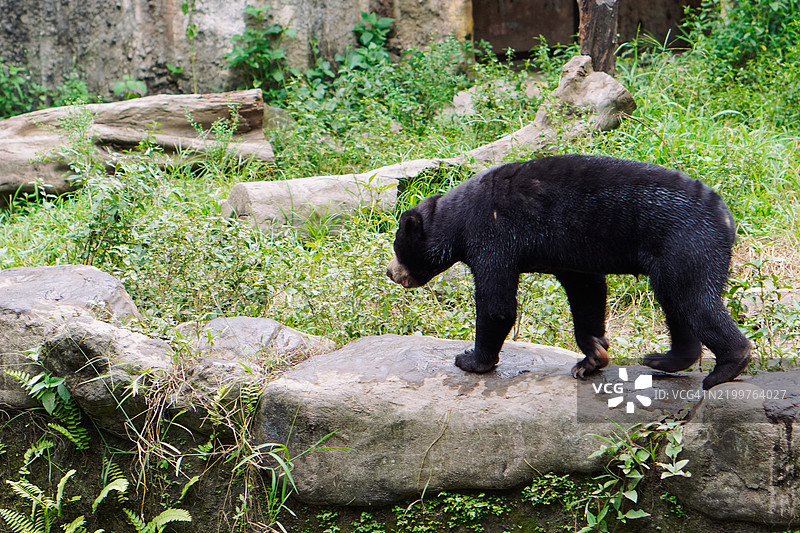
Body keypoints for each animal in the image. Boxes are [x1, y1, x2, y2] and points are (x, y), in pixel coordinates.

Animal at [386, 155, 752, 390]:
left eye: (397, 246)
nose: (391, 272)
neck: (458, 219)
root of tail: (726, 217)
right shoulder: (565, 252)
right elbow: (587, 289)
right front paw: (591, 357)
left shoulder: (493, 235)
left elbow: (496, 305)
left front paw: (470, 359)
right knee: (676, 302)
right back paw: (663, 359)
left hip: (686, 243)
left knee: (692, 299)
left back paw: (724, 368)